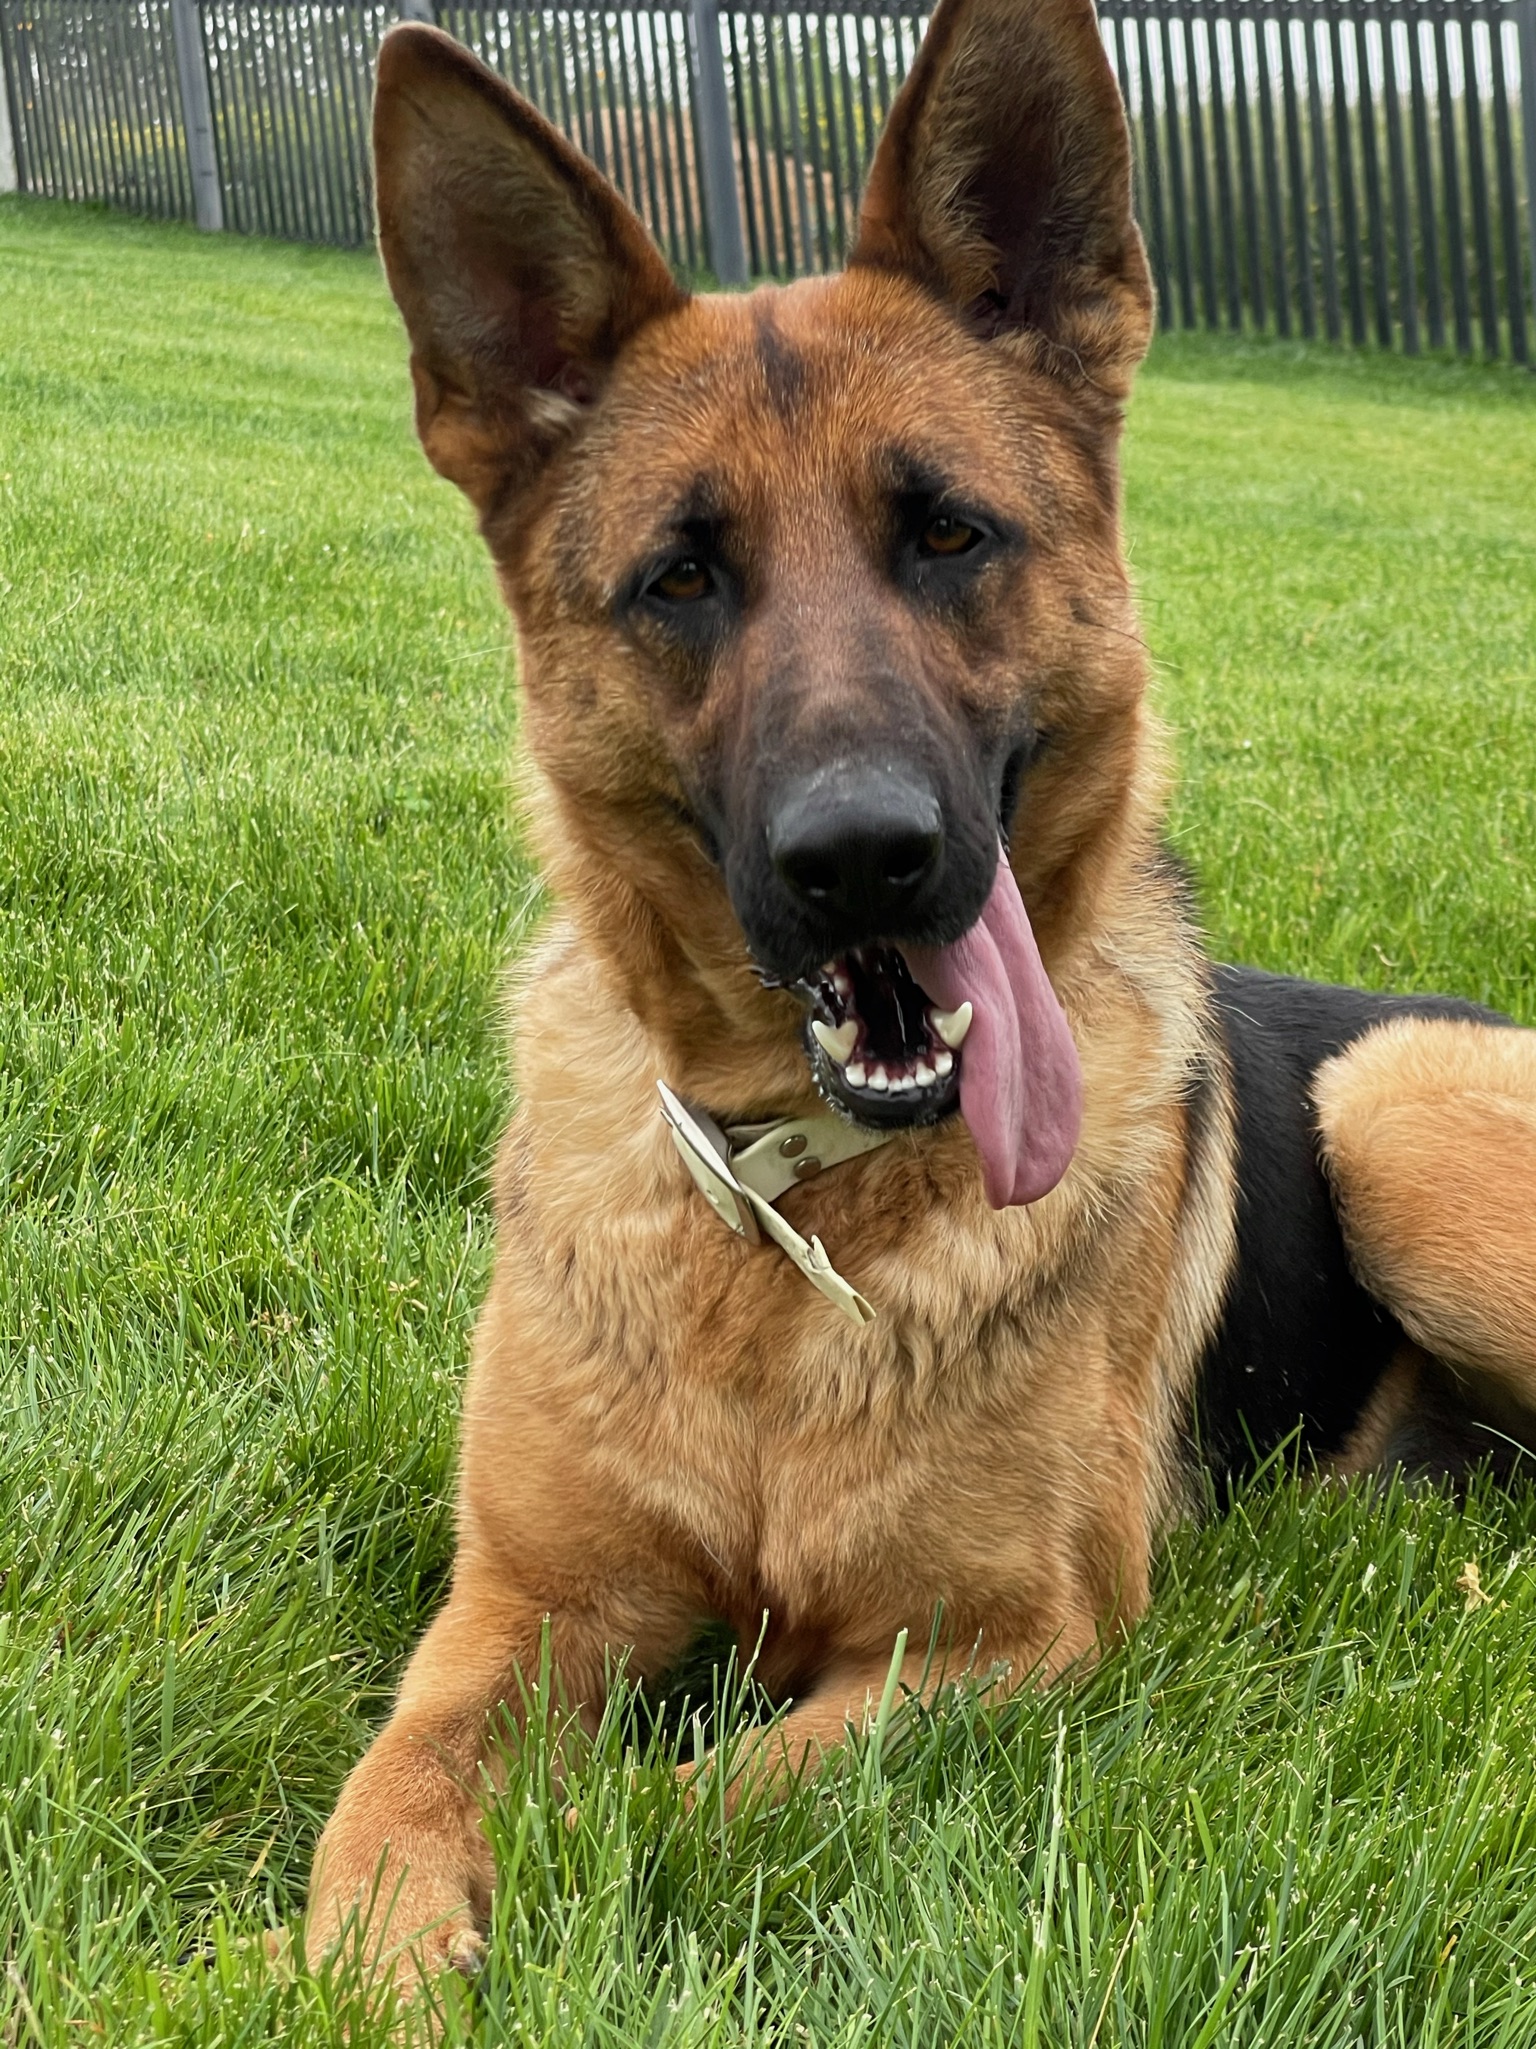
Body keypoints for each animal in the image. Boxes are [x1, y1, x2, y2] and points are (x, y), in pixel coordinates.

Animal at [307, 0, 1536, 1991]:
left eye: (949, 536)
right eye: (682, 576)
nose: (866, 856)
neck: (802, 1229)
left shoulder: (992, 1649)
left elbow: (688, 1797)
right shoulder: (517, 1602)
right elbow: (398, 1778)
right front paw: (380, 1948)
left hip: (1396, 1104)